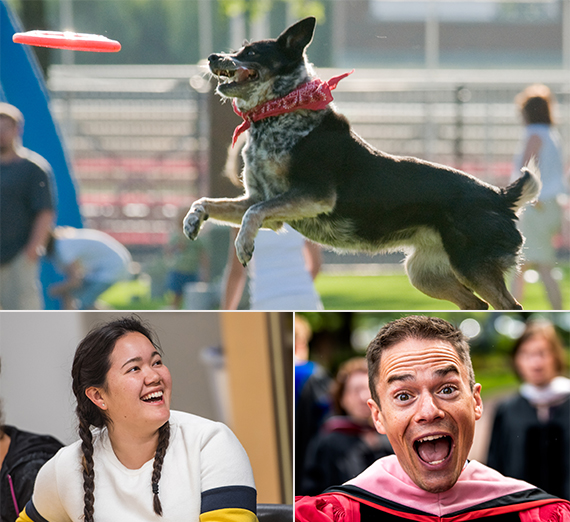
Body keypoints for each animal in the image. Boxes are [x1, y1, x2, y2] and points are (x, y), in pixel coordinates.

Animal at [184, 16, 540, 308]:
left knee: (511, 306)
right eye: (238, 49)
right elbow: (210, 202)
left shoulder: (312, 195)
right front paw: (192, 220)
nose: (212, 57)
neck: (279, 113)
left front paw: (244, 245)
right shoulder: (260, 200)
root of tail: (500, 195)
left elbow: (253, 215)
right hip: (425, 274)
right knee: (478, 305)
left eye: (252, 53)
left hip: (471, 265)